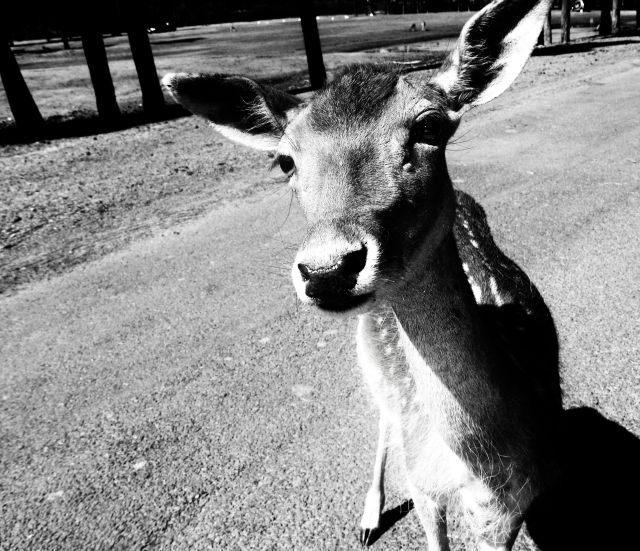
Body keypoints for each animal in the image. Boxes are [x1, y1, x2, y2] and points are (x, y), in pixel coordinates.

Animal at [162, 0, 563, 548]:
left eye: (430, 127)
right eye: (284, 160)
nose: (327, 269)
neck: (477, 463)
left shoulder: (506, 513)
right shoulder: (424, 491)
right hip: (374, 365)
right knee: (385, 420)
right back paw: (370, 516)